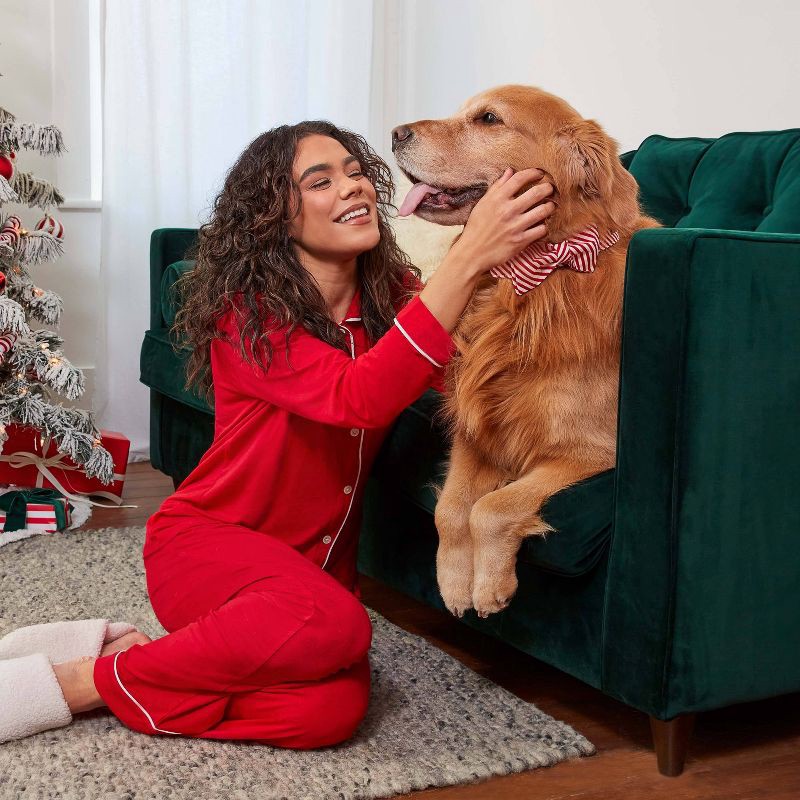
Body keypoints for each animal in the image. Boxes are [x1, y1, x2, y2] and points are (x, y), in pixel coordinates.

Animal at [390, 84, 660, 620]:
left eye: (488, 119)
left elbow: (493, 508)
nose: (394, 132)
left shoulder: (590, 452)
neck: (531, 285)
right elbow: (450, 509)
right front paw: (455, 581)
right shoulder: (480, 425)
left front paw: (490, 585)